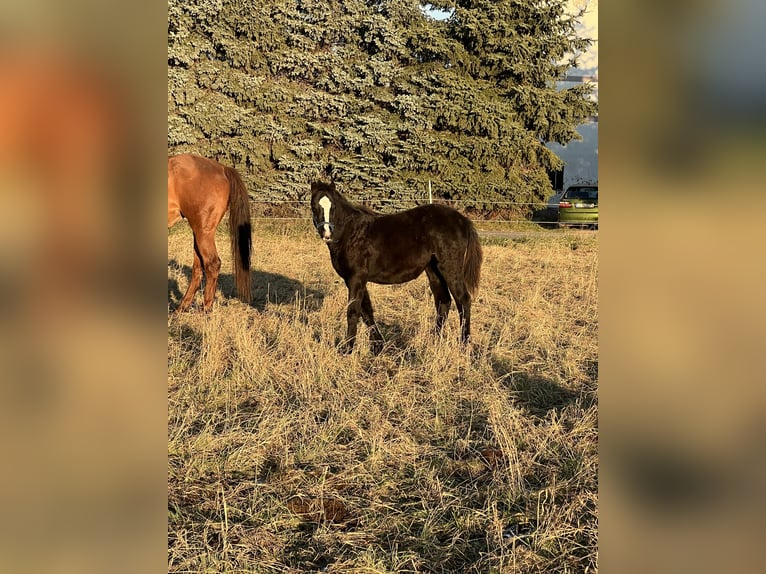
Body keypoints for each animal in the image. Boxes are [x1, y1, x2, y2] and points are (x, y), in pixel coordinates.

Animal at [168, 154, 252, 312]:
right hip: (198, 234)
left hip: (203, 232)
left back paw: (205, 310)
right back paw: (181, 308)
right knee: (198, 268)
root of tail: (223, 169)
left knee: (212, 264)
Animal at [310, 181, 483, 352]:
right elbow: (366, 311)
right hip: (434, 271)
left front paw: (347, 349)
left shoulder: (356, 277)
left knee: (463, 300)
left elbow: (353, 311)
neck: (351, 233)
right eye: (314, 206)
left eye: (333, 207)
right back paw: (433, 340)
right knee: (443, 302)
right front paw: (377, 345)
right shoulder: (355, 279)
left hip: (450, 269)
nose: (327, 234)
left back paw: (464, 344)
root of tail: (462, 220)